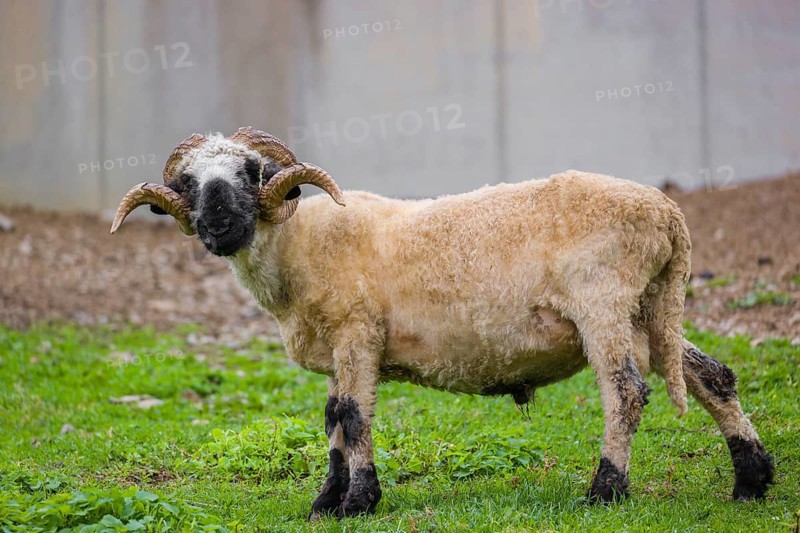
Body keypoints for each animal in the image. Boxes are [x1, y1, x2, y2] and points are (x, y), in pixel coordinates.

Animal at [111, 127, 774, 518]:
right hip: (647, 309)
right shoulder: (341, 344)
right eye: (188, 182)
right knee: (712, 376)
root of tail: (668, 215)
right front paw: (326, 501)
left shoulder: (357, 330)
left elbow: (353, 416)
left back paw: (605, 491)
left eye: (251, 172)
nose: (219, 223)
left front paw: (359, 501)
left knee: (626, 391)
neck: (301, 246)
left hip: (603, 301)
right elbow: (332, 418)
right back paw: (752, 480)